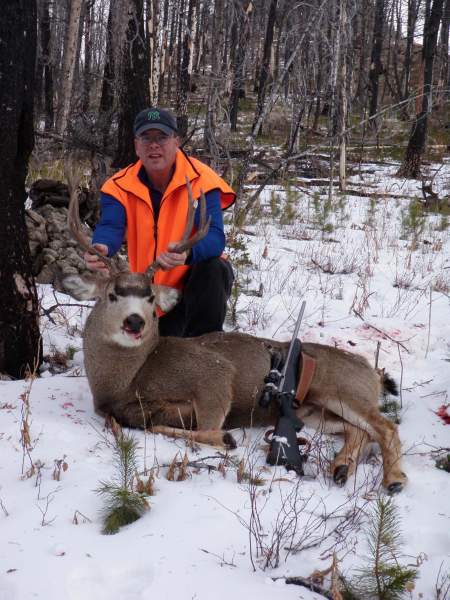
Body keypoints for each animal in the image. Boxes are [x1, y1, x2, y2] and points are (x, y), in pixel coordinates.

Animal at [59, 179, 408, 492]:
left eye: (150, 298)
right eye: (112, 295)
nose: (135, 322)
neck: (128, 378)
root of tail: (372, 371)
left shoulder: (214, 376)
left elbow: (191, 425)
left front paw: (226, 437)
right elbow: (146, 419)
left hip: (344, 390)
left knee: (386, 427)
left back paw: (393, 480)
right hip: (315, 410)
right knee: (359, 431)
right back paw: (341, 468)